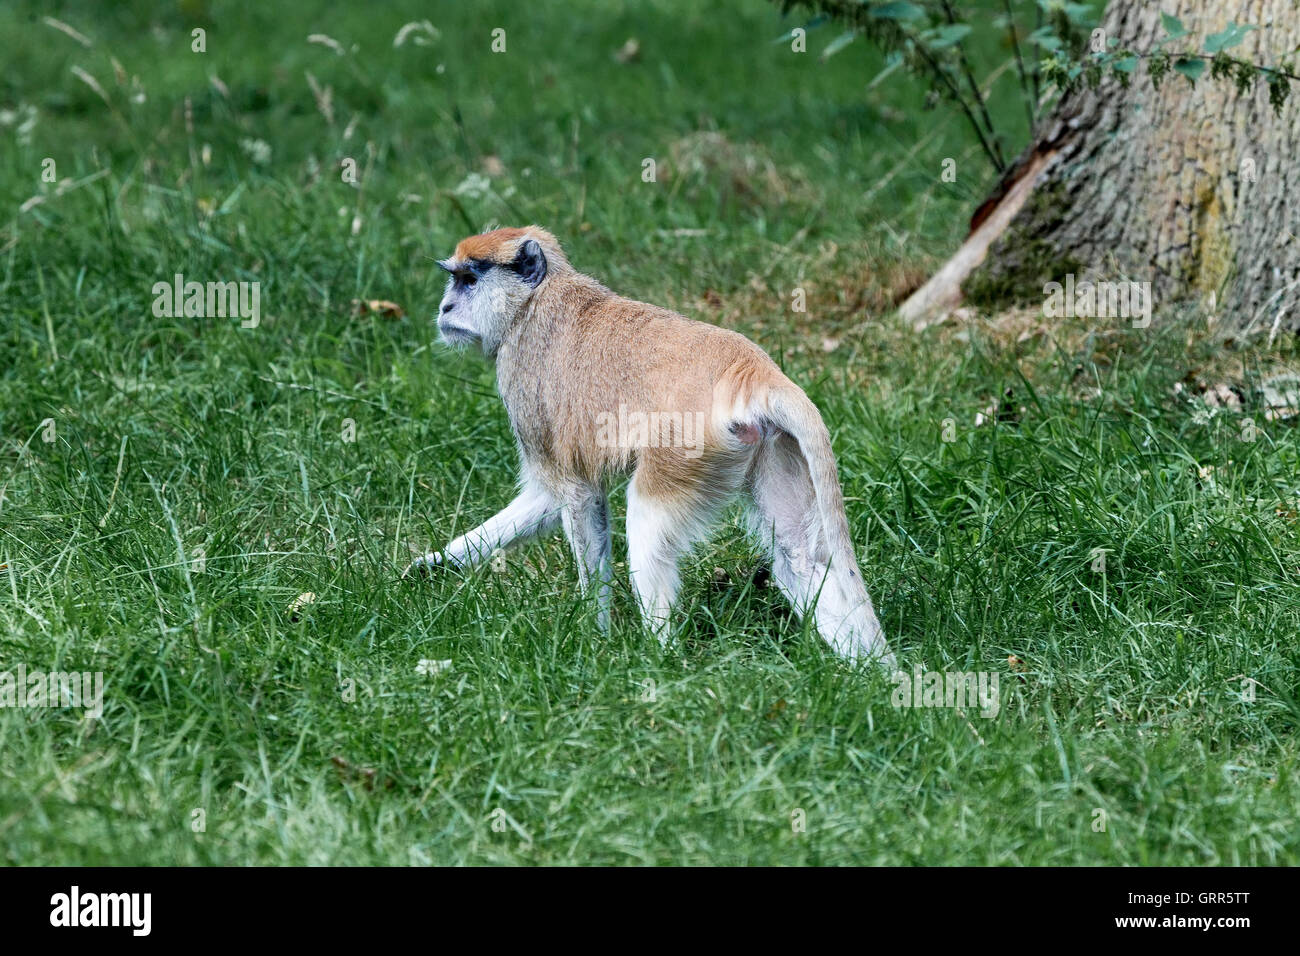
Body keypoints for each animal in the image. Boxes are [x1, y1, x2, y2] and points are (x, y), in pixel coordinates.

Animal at [405, 227, 894, 671]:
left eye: (469, 280)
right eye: (455, 280)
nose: (446, 308)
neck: (533, 299)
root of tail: (752, 371)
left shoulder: (522, 378)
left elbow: (577, 495)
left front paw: (594, 636)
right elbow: (546, 498)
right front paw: (438, 563)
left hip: (688, 449)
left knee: (646, 522)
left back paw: (661, 656)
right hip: (770, 446)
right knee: (799, 555)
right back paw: (873, 674)